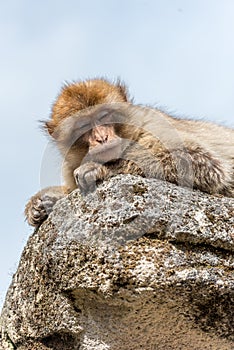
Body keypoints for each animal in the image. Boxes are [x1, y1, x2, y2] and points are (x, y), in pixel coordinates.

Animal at [24, 78, 233, 227]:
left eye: (104, 116)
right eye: (83, 126)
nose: (102, 138)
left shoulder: (154, 126)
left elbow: (200, 162)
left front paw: (99, 169)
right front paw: (42, 201)